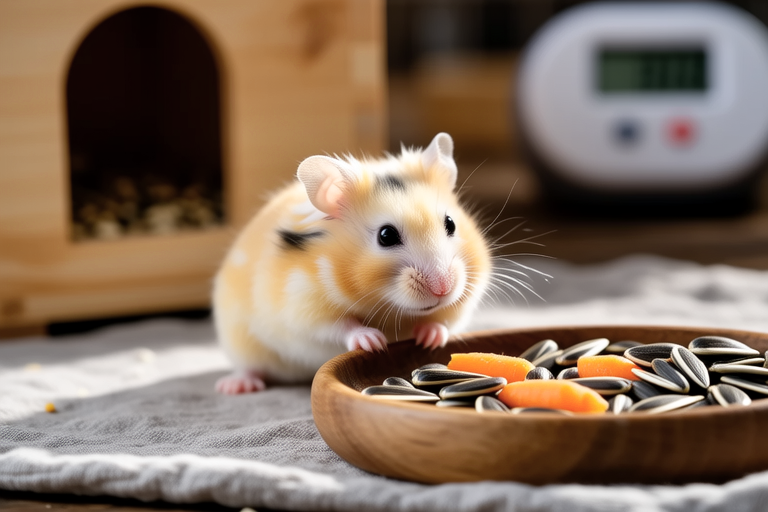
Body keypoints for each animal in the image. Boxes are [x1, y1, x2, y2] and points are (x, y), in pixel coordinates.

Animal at [213, 132, 491, 394]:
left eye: (450, 223)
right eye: (386, 236)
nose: (443, 289)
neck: (390, 307)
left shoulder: (460, 304)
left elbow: (442, 321)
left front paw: (431, 338)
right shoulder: (303, 307)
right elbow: (340, 326)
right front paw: (375, 341)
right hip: (240, 340)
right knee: (250, 367)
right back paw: (236, 386)